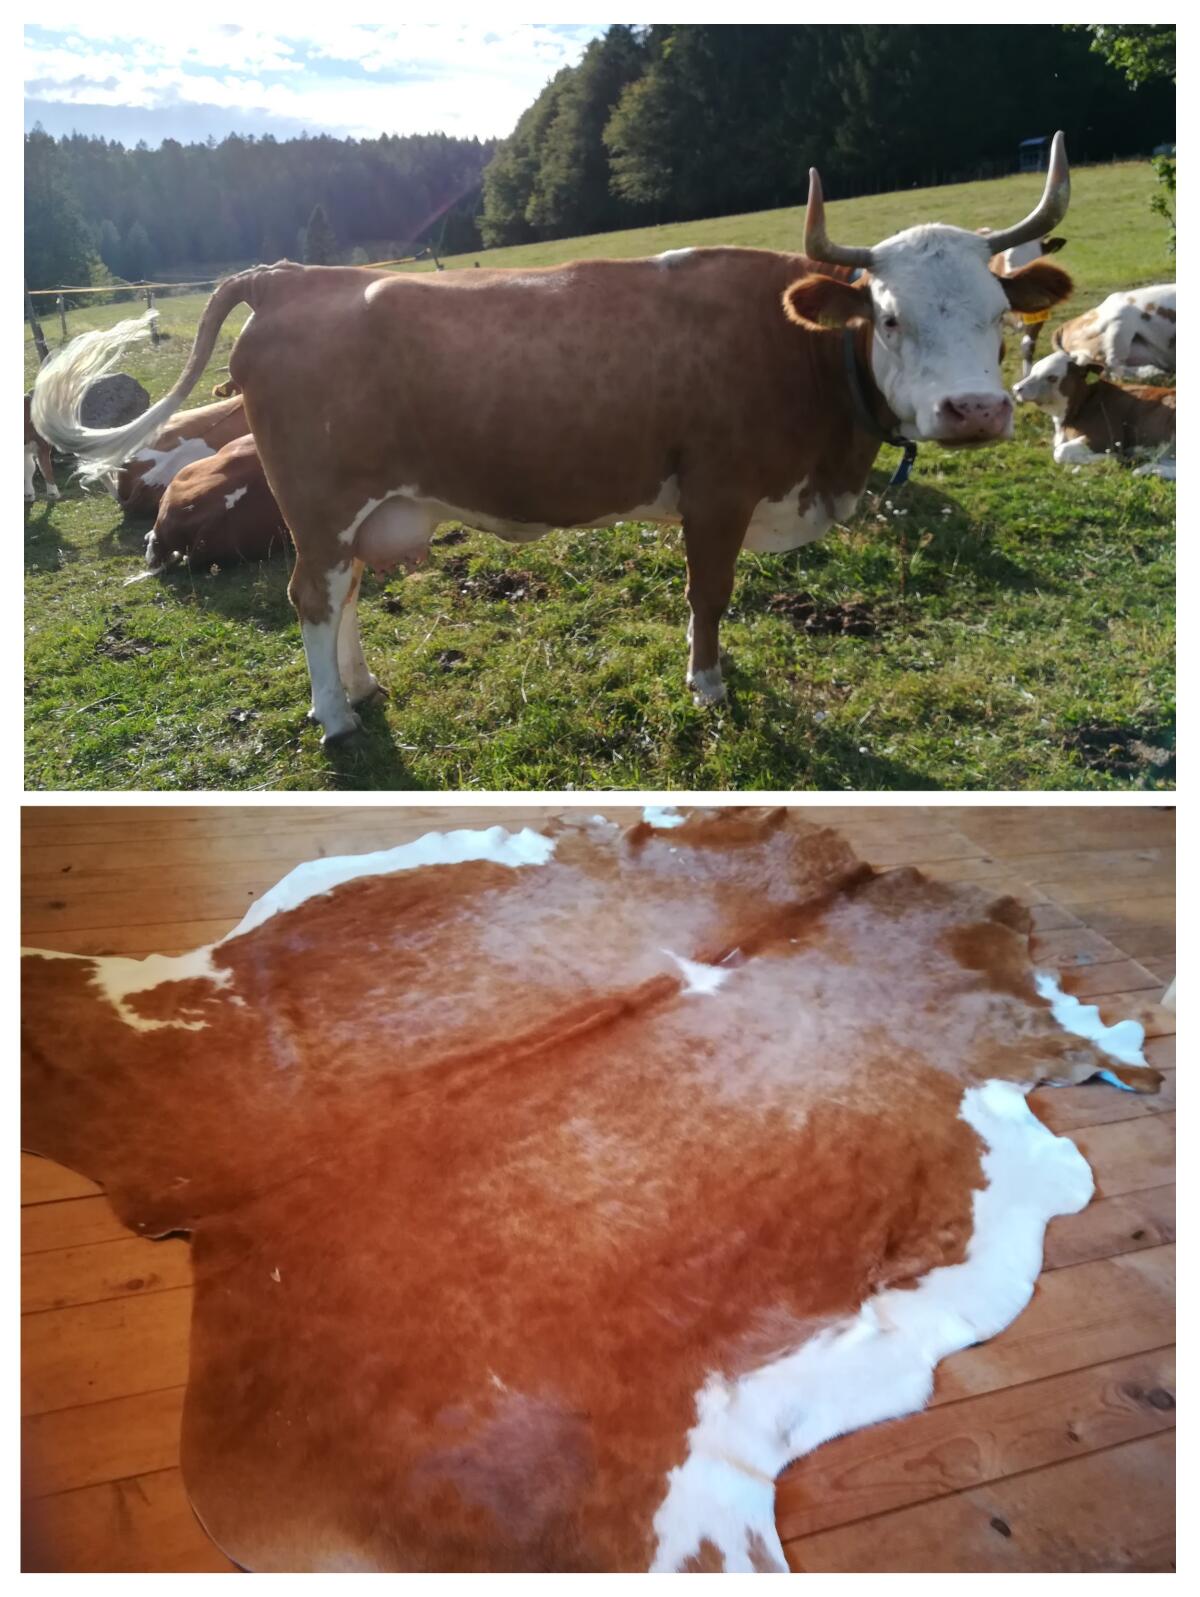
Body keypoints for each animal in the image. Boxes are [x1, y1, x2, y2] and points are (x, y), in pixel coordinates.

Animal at [1013, 350, 1176, 478]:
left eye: (1052, 377)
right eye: (1032, 371)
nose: (1016, 388)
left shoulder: (1106, 438)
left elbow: (1059, 452)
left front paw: (1112, 458)